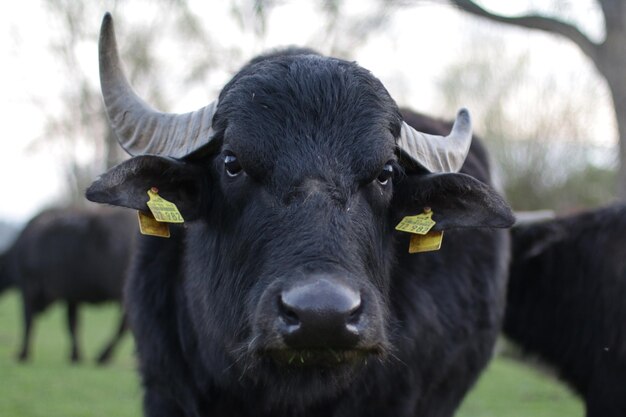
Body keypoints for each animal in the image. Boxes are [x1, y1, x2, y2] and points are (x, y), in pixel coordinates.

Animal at [0, 206, 135, 362]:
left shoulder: (28, 289)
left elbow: (28, 321)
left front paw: (23, 353)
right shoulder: (71, 297)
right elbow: (72, 324)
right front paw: (75, 355)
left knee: (125, 324)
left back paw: (104, 355)